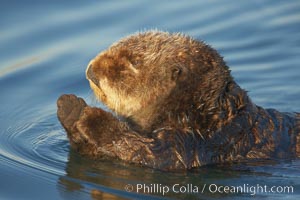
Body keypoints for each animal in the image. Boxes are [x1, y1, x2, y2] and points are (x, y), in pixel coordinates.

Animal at [56, 30, 300, 170]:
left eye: (134, 61)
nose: (91, 71)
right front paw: (68, 107)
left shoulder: (201, 141)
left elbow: (156, 156)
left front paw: (89, 116)